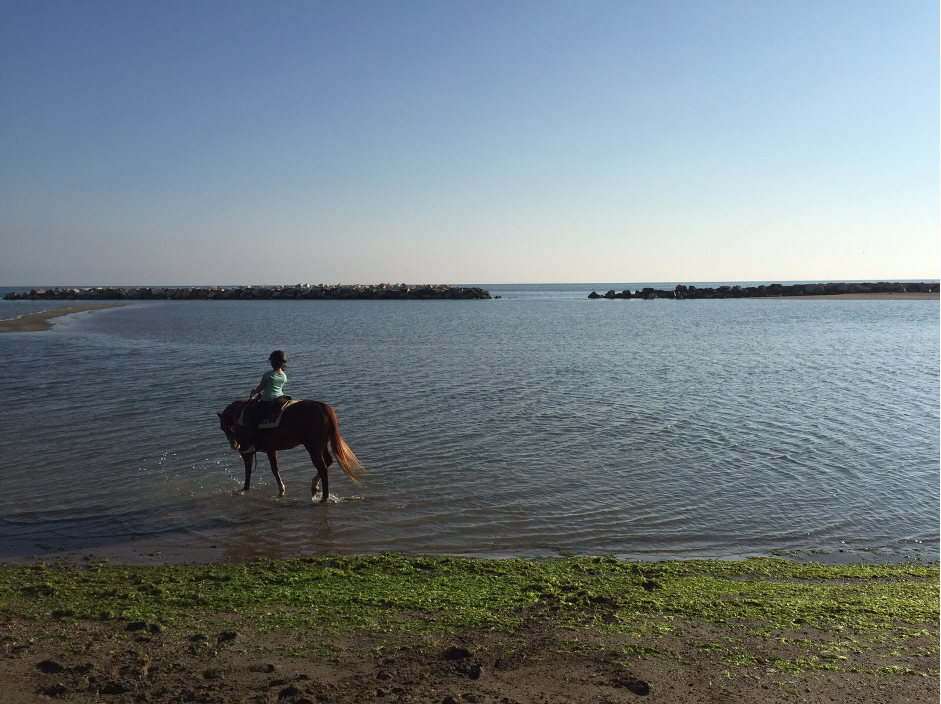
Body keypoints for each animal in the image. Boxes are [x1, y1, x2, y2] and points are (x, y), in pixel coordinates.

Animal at [217, 398, 364, 504]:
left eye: (223, 427)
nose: (233, 444)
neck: (241, 415)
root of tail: (323, 407)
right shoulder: (271, 449)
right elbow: (275, 470)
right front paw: (281, 490)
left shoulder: (247, 451)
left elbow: (248, 470)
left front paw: (244, 489)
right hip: (321, 446)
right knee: (328, 461)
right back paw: (315, 487)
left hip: (313, 448)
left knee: (323, 468)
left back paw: (324, 497)